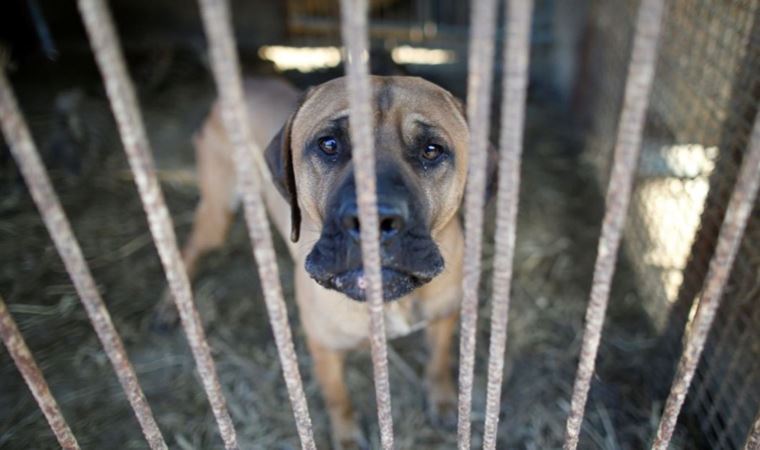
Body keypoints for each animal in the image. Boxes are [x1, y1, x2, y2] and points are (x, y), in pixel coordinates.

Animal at [178, 75, 498, 448]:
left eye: (431, 150)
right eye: (329, 144)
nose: (373, 220)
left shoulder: (444, 318)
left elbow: (438, 362)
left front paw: (444, 401)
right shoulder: (324, 349)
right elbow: (338, 398)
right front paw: (346, 436)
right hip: (218, 212)